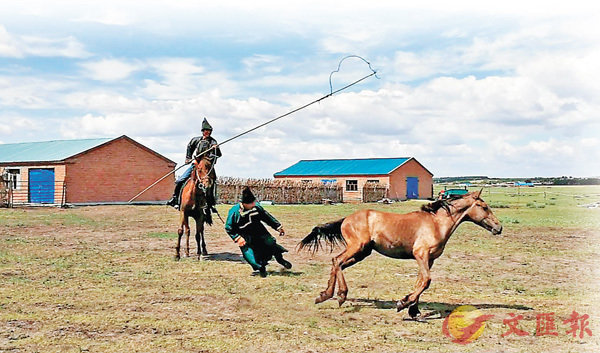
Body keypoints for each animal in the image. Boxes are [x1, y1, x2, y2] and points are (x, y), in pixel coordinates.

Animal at [298, 191, 502, 318]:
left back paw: (324, 295)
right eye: (484, 207)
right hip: (357, 247)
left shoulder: (429, 259)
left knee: (337, 263)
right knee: (337, 260)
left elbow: (420, 281)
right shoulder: (421, 255)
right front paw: (403, 304)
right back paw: (340, 295)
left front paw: (414, 310)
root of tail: (346, 219)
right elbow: (426, 281)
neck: (436, 223)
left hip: (362, 252)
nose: (499, 228)